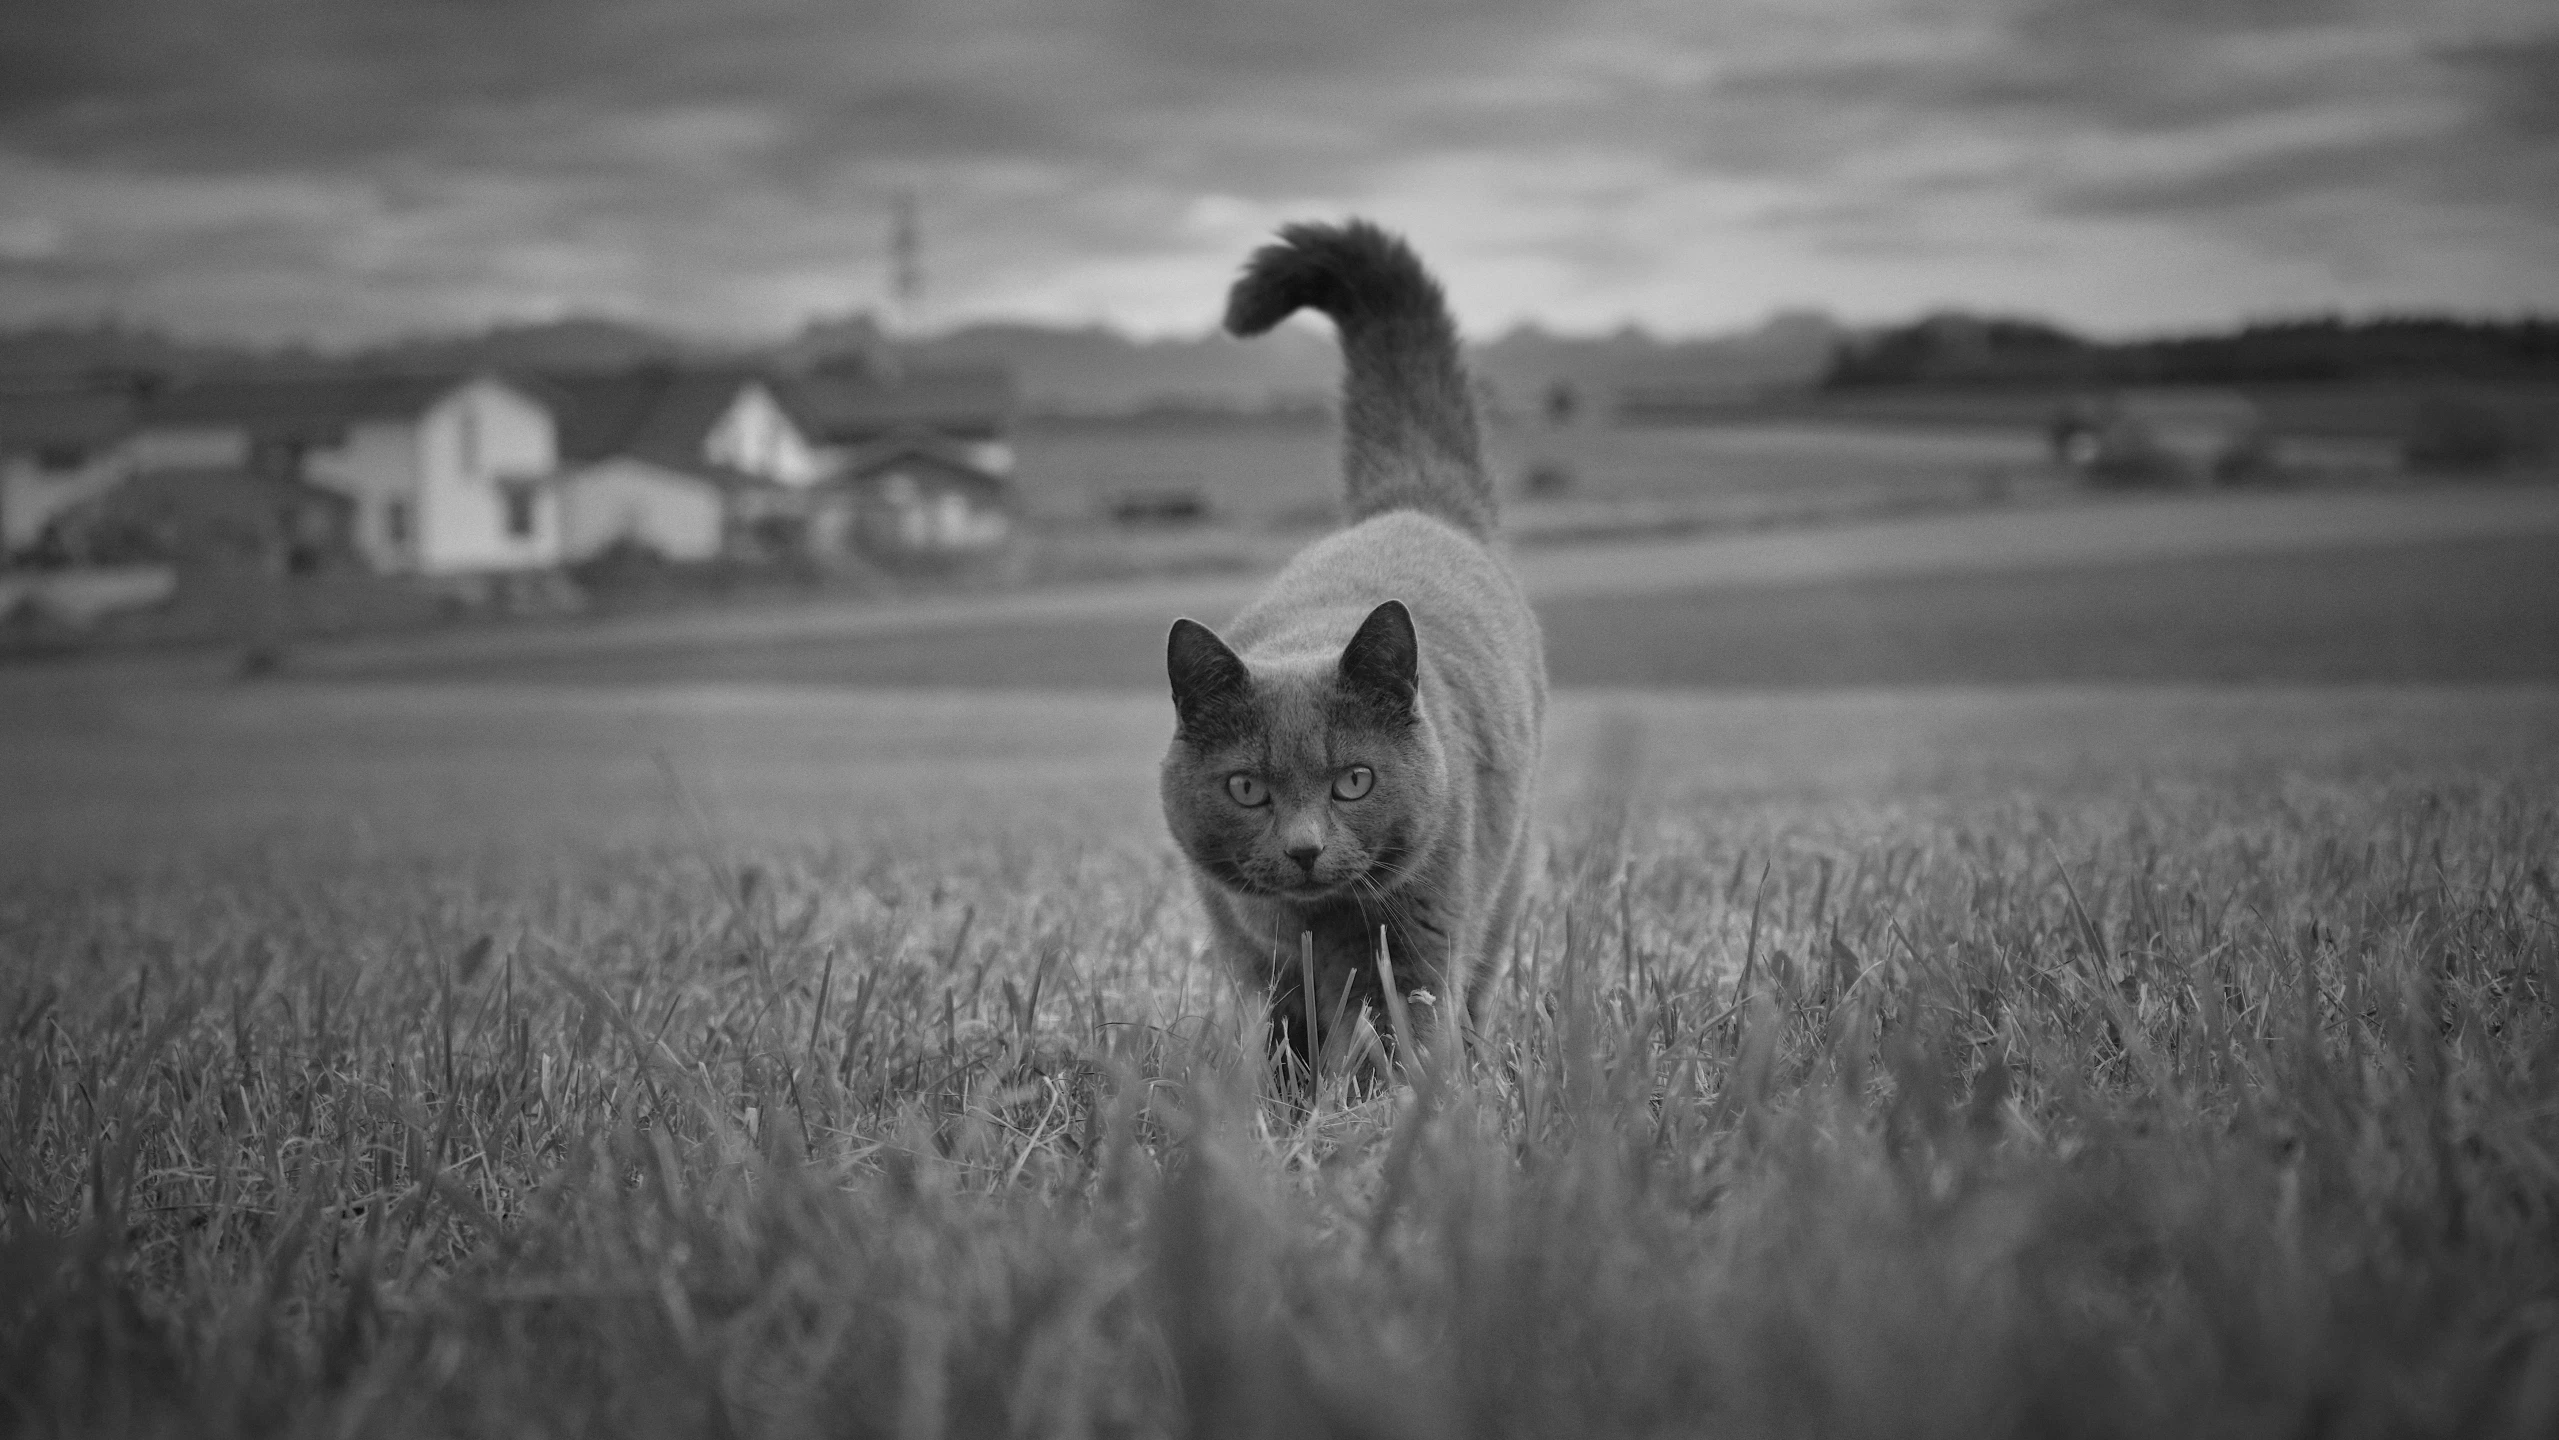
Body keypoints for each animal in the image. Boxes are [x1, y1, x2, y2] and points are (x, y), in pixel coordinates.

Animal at [1156, 219, 1535, 1074]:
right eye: (1246, 789)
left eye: (1354, 781)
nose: (1303, 848)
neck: (1314, 925)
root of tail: (1410, 503)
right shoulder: (1253, 957)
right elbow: (1283, 1041)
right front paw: (1285, 1102)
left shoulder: (1420, 947)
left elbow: (1405, 1042)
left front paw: (1395, 1105)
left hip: (1506, 869)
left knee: (1480, 980)